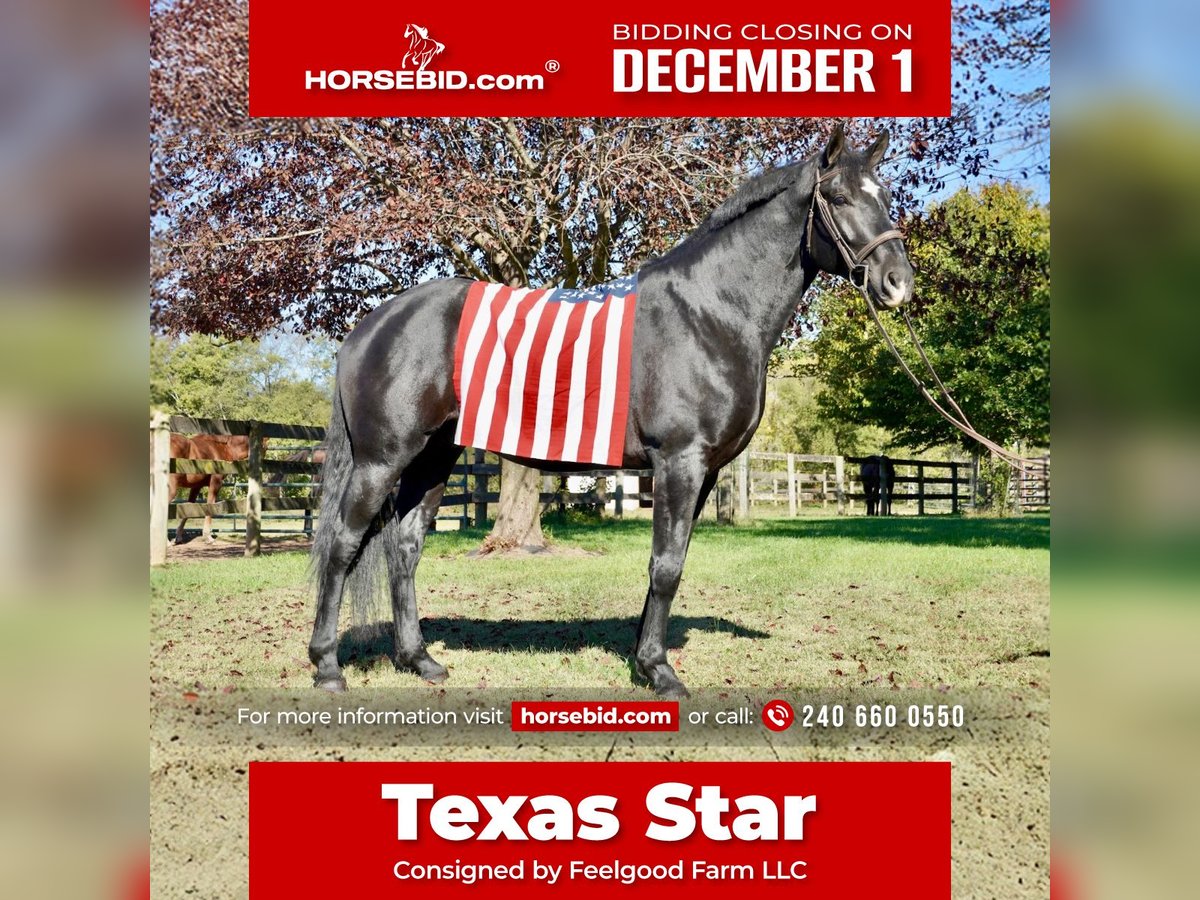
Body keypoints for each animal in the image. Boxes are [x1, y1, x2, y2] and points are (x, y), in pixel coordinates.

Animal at [308, 123, 914, 697]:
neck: (711, 311)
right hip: (381, 460)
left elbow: (669, 563)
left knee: (404, 547)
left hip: (433, 457)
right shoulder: (679, 462)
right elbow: (666, 566)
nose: (898, 283)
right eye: (838, 197)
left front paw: (644, 659)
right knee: (341, 545)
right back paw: (327, 666)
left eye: (884, 195)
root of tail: (369, 327)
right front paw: (661, 671)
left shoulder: (702, 473)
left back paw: (419, 660)